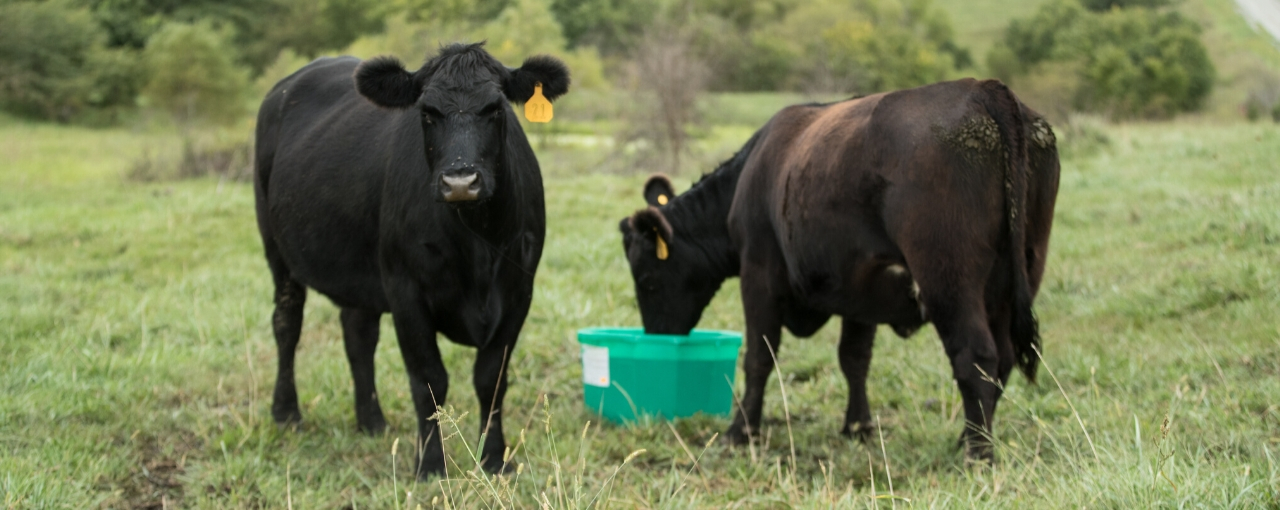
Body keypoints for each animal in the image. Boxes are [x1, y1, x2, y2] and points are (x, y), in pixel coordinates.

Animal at [253, 41, 570, 476]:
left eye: (496, 108)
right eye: (427, 112)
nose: (460, 181)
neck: (477, 248)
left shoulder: (519, 292)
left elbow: (491, 379)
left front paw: (494, 458)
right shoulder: (406, 292)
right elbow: (429, 380)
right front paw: (431, 463)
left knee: (358, 334)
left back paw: (371, 421)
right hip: (277, 249)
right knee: (287, 324)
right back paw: (286, 413)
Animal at [619, 77, 1059, 461]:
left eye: (647, 280)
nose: (657, 336)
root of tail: (983, 89)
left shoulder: (759, 273)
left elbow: (759, 356)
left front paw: (740, 432)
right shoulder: (862, 288)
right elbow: (854, 358)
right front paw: (857, 426)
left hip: (947, 277)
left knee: (976, 356)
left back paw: (977, 455)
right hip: (1014, 278)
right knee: (1002, 360)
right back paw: (965, 440)